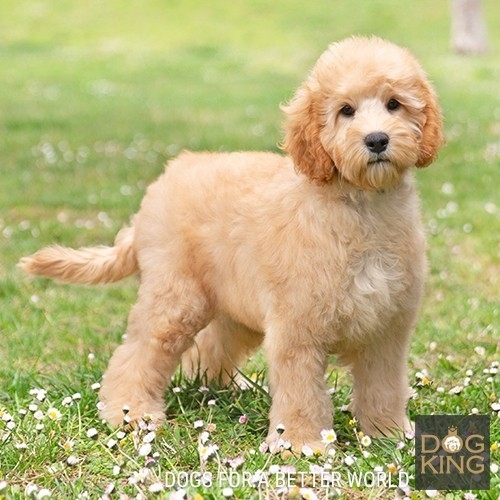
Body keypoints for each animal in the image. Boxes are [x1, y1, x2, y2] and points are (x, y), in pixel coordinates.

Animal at [19, 35, 444, 450]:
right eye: (346, 110)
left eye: (394, 103)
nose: (377, 140)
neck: (361, 207)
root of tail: (163, 182)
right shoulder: (297, 329)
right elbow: (302, 392)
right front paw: (303, 443)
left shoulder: (387, 329)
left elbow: (383, 387)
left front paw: (388, 433)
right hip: (176, 299)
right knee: (137, 354)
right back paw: (132, 412)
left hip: (234, 306)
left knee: (211, 345)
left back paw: (218, 388)